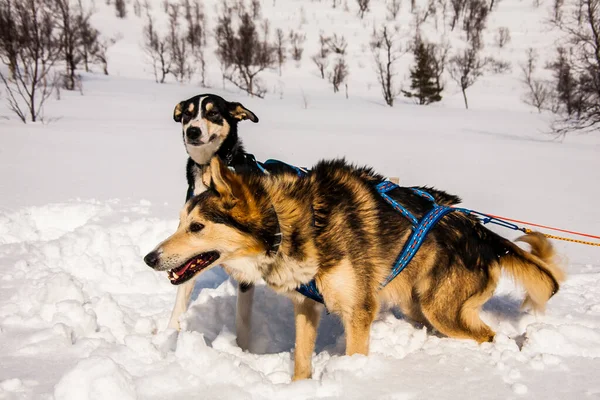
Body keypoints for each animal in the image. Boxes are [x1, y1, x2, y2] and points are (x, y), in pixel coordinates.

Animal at [170, 94, 262, 350]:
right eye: (187, 113)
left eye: (213, 113)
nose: (192, 130)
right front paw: (169, 334)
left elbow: (242, 319)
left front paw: (242, 351)